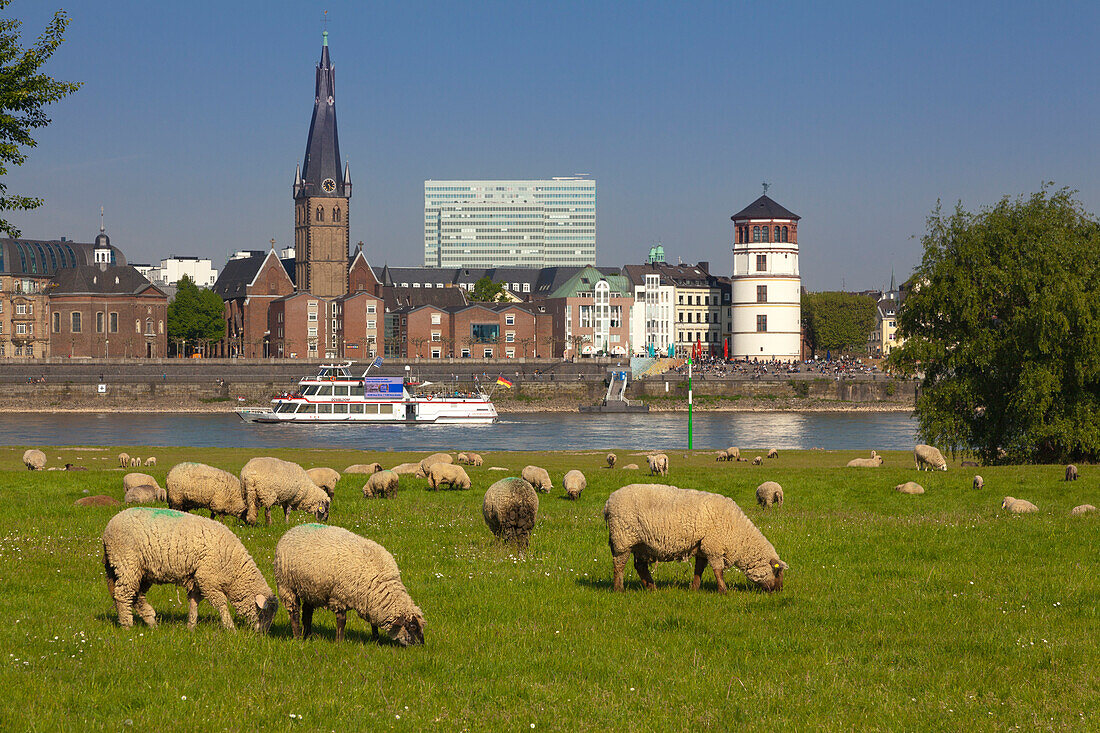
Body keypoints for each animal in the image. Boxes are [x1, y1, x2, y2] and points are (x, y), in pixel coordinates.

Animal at [103, 506, 277, 629]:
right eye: (264, 613)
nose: (262, 634)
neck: (234, 569)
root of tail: (108, 527)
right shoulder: (208, 580)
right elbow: (221, 604)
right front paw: (230, 628)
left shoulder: (197, 580)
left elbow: (194, 602)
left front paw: (191, 627)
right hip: (127, 562)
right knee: (123, 594)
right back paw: (127, 625)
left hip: (142, 571)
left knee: (137, 596)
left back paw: (152, 623)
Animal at [275, 519, 424, 647]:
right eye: (412, 626)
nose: (420, 646)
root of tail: (293, 529)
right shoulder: (339, 597)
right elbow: (342, 621)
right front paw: (339, 642)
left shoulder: (371, 600)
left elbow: (373, 623)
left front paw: (375, 639)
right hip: (286, 585)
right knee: (294, 612)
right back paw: (298, 637)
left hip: (310, 588)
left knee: (307, 611)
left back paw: (308, 635)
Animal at [602, 482, 792, 589]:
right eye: (777, 573)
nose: (779, 590)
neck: (738, 535)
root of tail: (608, 503)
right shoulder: (714, 546)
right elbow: (718, 571)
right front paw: (724, 590)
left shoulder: (703, 546)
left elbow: (699, 569)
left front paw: (694, 588)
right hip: (623, 538)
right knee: (619, 565)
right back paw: (619, 589)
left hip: (641, 544)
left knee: (640, 566)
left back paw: (651, 588)